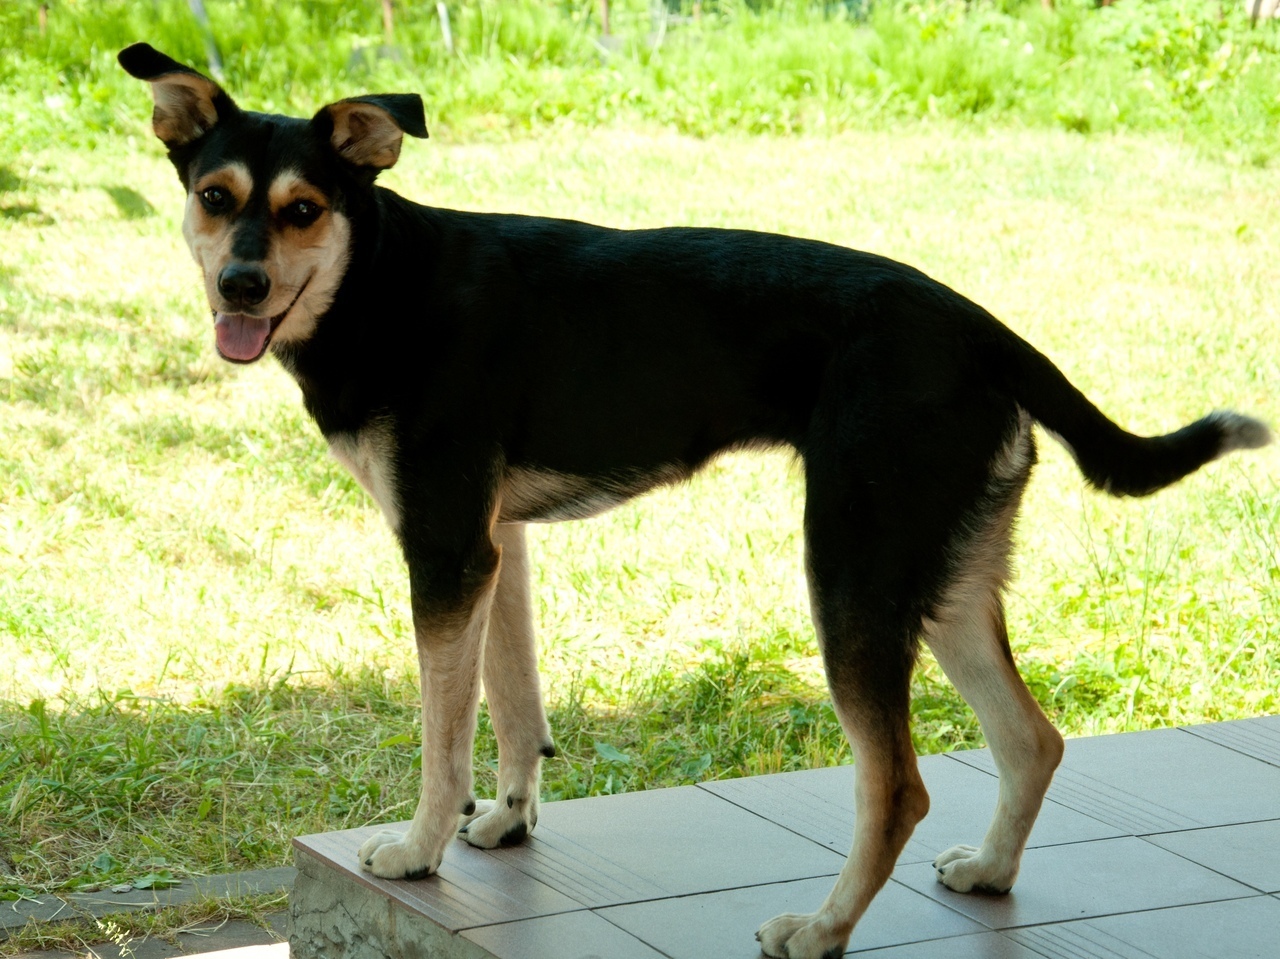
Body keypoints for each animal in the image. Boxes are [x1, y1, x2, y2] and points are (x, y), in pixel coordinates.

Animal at [117, 42, 1269, 957]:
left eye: (303, 209)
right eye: (216, 198)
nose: (240, 287)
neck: (380, 280)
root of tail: (977, 324)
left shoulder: (443, 550)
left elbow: (444, 740)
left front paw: (418, 848)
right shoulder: (496, 545)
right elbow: (515, 703)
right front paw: (510, 821)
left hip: (852, 574)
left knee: (896, 783)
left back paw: (821, 928)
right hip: (939, 574)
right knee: (1031, 738)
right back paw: (989, 872)